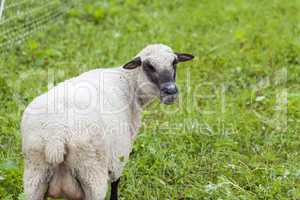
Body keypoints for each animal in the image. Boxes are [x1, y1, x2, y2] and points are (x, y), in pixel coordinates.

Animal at [21, 44, 195, 200]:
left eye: (174, 62)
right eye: (149, 66)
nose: (171, 91)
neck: (129, 83)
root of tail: (56, 136)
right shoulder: (119, 156)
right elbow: (115, 185)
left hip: (34, 175)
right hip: (92, 173)